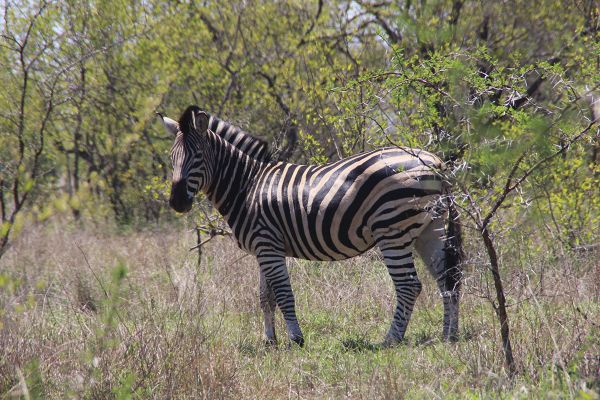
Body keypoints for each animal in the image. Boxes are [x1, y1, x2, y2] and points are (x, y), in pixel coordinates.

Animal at [159, 105, 464, 346]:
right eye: (171, 158)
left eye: (197, 157)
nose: (177, 203)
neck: (247, 186)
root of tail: (436, 163)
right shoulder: (263, 249)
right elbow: (265, 297)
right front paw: (269, 341)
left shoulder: (268, 245)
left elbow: (283, 294)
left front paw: (296, 338)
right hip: (430, 228)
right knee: (447, 279)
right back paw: (449, 335)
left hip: (393, 230)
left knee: (409, 285)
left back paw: (391, 339)